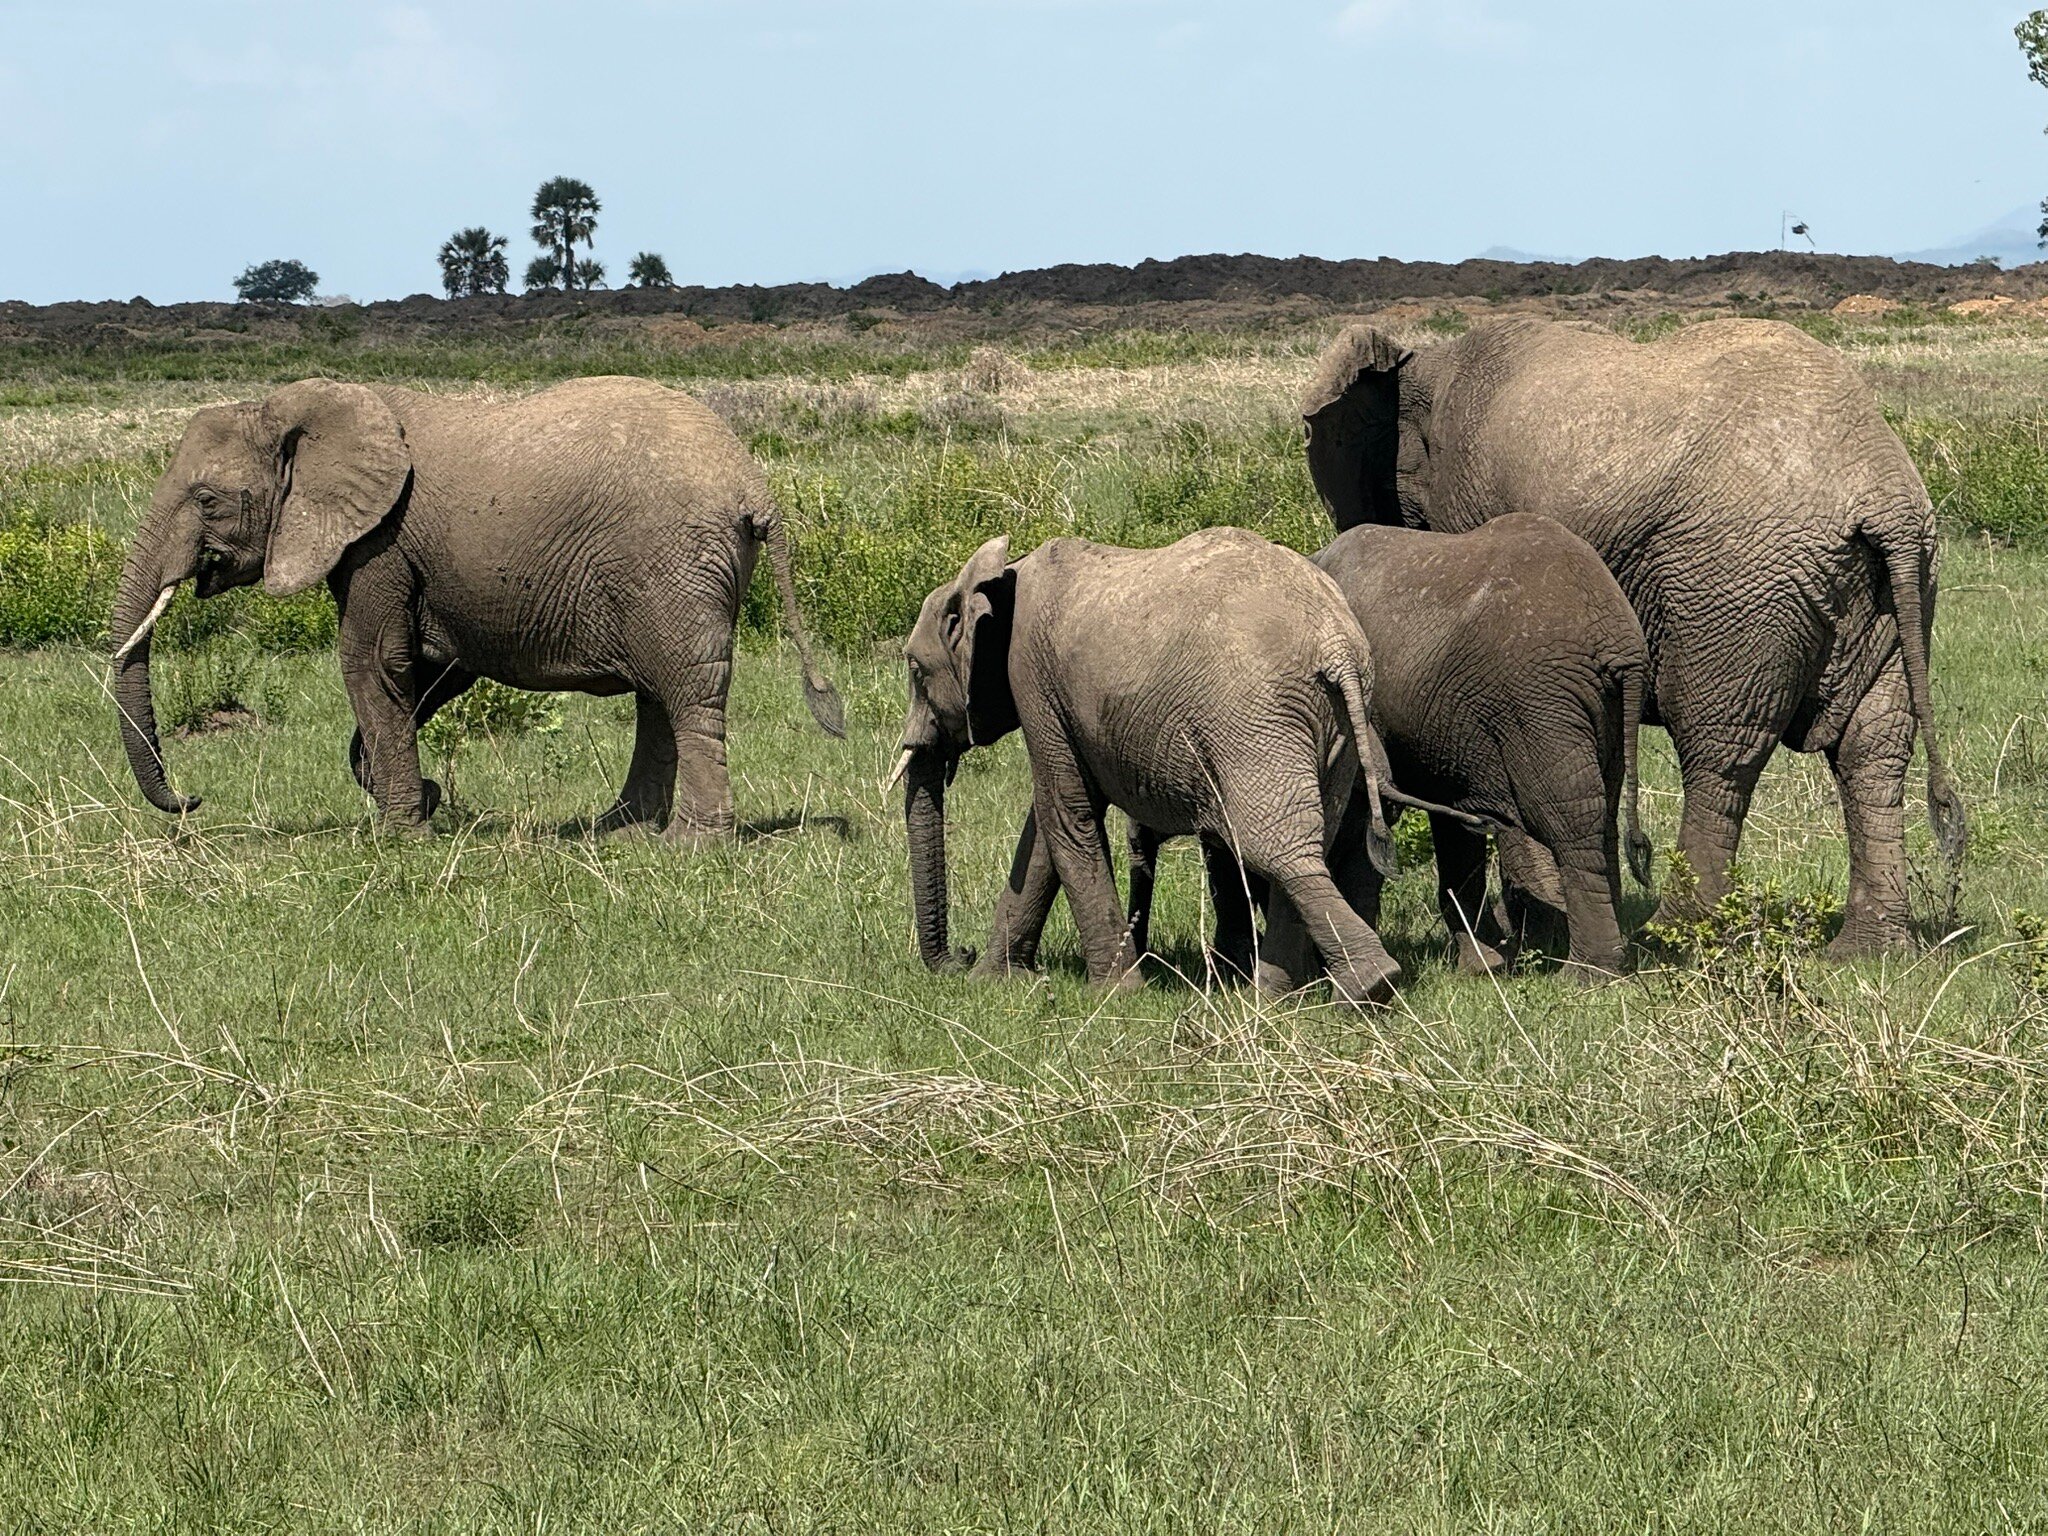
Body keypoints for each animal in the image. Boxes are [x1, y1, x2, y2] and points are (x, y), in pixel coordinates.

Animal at [109, 376, 843, 839]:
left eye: (207, 500)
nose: (192, 800)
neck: (300, 407)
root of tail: (753, 483)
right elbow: (432, 668)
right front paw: (413, 802)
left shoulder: (381, 540)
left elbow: (373, 663)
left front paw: (399, 836)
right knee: (658, 697)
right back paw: (619, 833)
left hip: (672, 562)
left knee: (688, 693)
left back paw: (689, 847)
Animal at [887, 526, 1411, 1006]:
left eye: (914, 670)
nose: (960, 957)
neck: (1001, 575)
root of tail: (1336, 645)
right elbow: (1042, 834)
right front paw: (995, 983)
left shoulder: (1032, 676)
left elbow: (1066, 813)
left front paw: (1115, 996)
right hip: (1335, 725)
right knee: (1310, 839)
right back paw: (1277, 997)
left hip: (1253, 716)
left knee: (1274, 847)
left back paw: (1365, 985)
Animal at [1314, 515, 1653, 977]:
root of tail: (1618, 641)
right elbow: (1453, 821)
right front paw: (1483, 968)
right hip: (1604, 710)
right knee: (1604, 811)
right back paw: (1609, 960)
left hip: (1538, 700)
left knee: (1570, 818)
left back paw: (1588, 973)